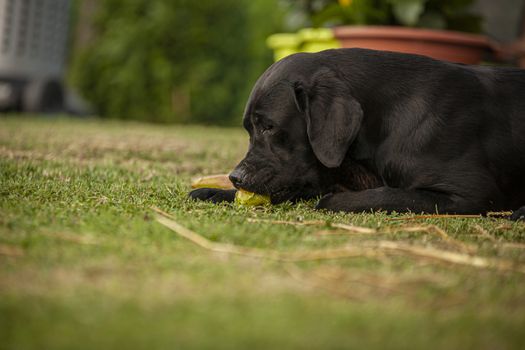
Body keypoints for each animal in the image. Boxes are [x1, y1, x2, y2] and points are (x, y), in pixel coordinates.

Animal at [189, 48, 524, 220]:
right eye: (249, 129)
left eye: (269, 127)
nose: (236, 177)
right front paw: (214, 192)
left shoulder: (472, 194)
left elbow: (375, 195)